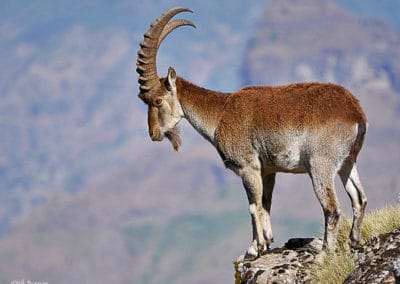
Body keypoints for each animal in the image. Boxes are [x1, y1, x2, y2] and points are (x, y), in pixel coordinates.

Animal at [138, 6, 368, 260]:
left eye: (157, 100)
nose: (153, 133)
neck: (221, 113)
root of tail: (355, 113)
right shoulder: (267, 170)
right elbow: (265, 204)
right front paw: (266, 242)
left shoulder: (248, 166)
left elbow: (252, 205)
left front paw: (253, 249)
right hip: (347, 161)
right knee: (360, 199)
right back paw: (354, 241)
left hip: (320, 164)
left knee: (332, 207)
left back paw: (325, 252)